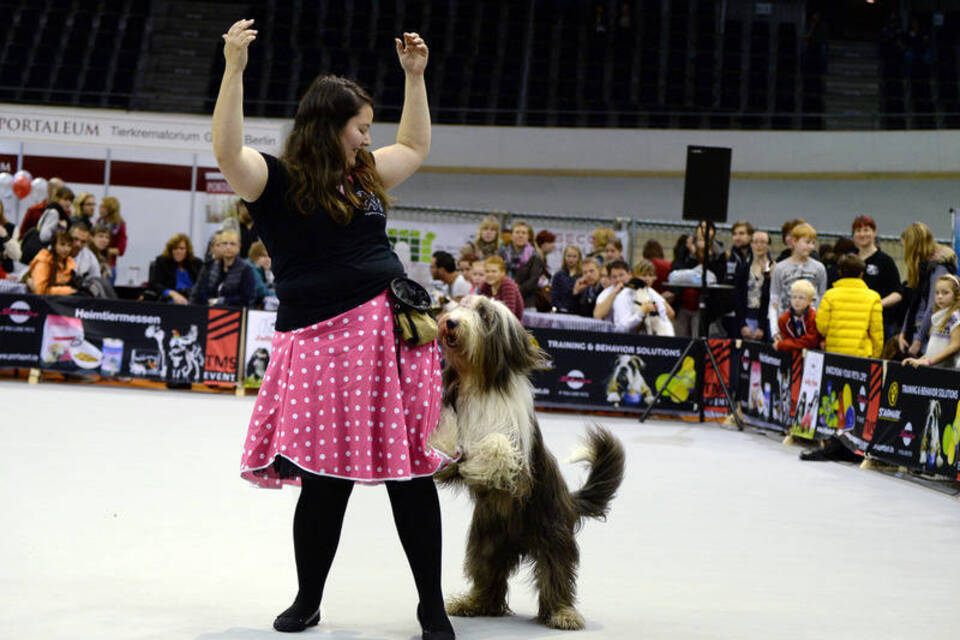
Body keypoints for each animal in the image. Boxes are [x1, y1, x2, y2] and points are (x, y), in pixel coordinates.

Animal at [430, 296, 632, 632]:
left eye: (484, 314)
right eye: (462, 304)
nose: (450, 322)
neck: (479, 383)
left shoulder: (517, 453)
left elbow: (498, 445)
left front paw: (480, 462)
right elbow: (447, 438)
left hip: (553, 536)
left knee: (557, 576)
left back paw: (563, 614)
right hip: (485, 542)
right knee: (488, 578)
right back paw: (472, 604)